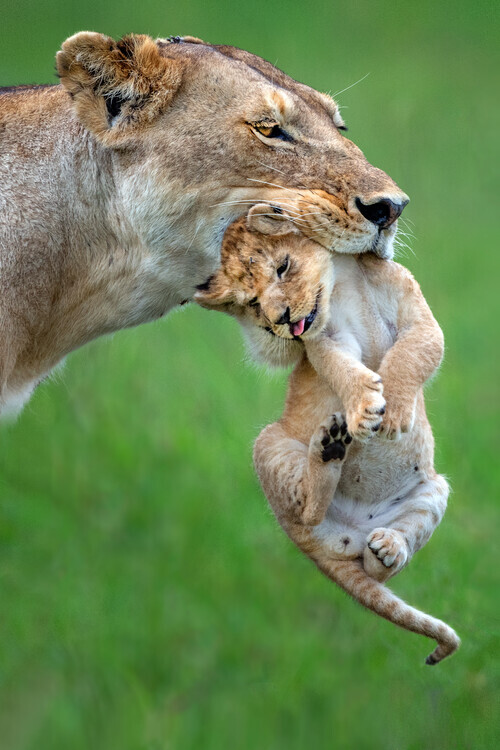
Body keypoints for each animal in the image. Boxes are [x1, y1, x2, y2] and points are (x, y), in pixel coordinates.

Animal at [195, 208, 460, 664]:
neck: (347, 279)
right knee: (309, 510)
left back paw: (388, 547)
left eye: (283, 267)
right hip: (269, 445)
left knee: (380, 568)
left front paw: (394, 412)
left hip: (434, 490)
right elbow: (340, 366)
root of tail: (324, 545)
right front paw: (366, 408)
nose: (283, 320)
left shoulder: (417, 315)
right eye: (252, 303)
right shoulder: (325, 340)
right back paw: (330, 448)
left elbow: (414, 352)